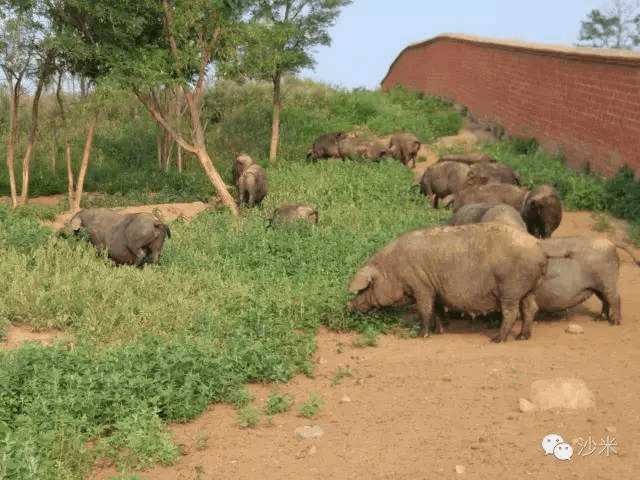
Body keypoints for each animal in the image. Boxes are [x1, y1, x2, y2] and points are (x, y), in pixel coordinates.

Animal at [348, 224, 548, 342]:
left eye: (365, 288)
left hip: (510, 288)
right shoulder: (436, 290)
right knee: (531, 308)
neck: (393, 270)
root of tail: (538, 247)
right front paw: (439, 331)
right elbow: (437, 310)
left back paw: (497, 339)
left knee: (511, 313)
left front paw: (421, 335)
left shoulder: (421, 286)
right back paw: (523, 337)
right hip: (530, 288)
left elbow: (424, 309)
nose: (349, 305)